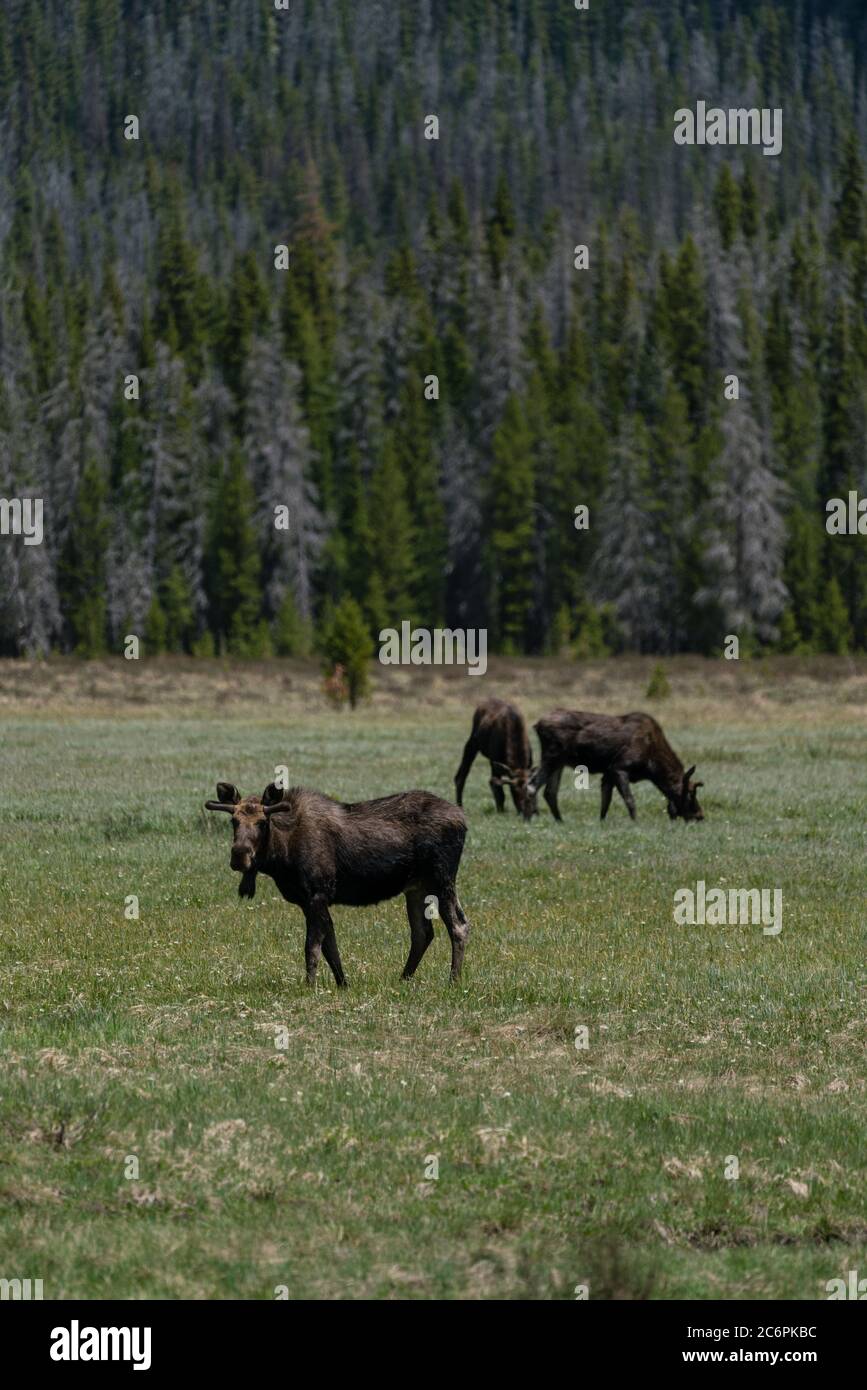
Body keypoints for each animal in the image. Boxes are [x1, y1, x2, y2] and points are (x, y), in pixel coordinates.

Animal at [204, 783, 469, 989]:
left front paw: (309, 986)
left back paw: (453, 981)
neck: (281, 856)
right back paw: (403, 979)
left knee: (459, 926)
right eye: (234, 821)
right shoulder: (308, 901)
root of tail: (463, 819)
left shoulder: (317, 894)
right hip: (416, 888)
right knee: (422, 933)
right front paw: (343, 984)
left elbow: (312, 946)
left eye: (262, 822)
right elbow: (330, 946)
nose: (239, 855)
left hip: (441, 879)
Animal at [527, 711, 705, 817]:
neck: (652, 767)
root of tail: (537, 725)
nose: (700, 815)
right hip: (552, 757)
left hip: (559, 762)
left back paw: (560, 821)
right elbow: (630, 800)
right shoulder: (619, 768)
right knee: (533, 785)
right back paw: (532, 817)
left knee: (549, 792)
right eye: (691, 793)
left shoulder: (607, 774)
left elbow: (605, 804)